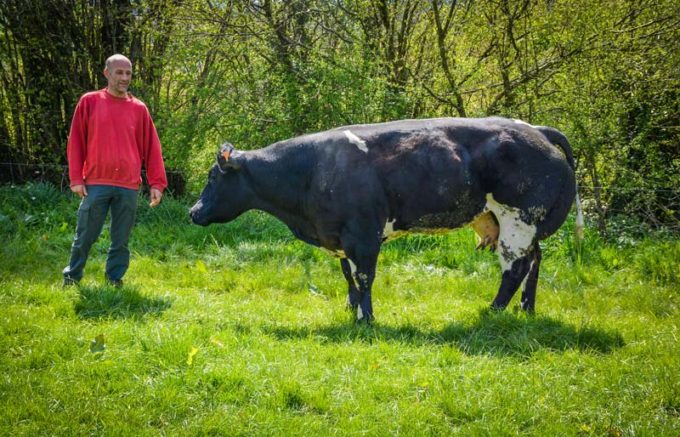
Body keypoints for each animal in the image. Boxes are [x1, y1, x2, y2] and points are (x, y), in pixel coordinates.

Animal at [190, 116, 580, 320]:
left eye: (213, 178)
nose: (193, 211)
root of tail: (537, 130)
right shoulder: (340, 236)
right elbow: (347, 274)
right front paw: (351, 310)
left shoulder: (363, 233)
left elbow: (364, 276)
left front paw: (367, 318)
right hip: (512, 223)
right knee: (534, 260)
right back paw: (527, 309)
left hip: (519, 219)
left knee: (514, 268)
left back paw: (495, 310)